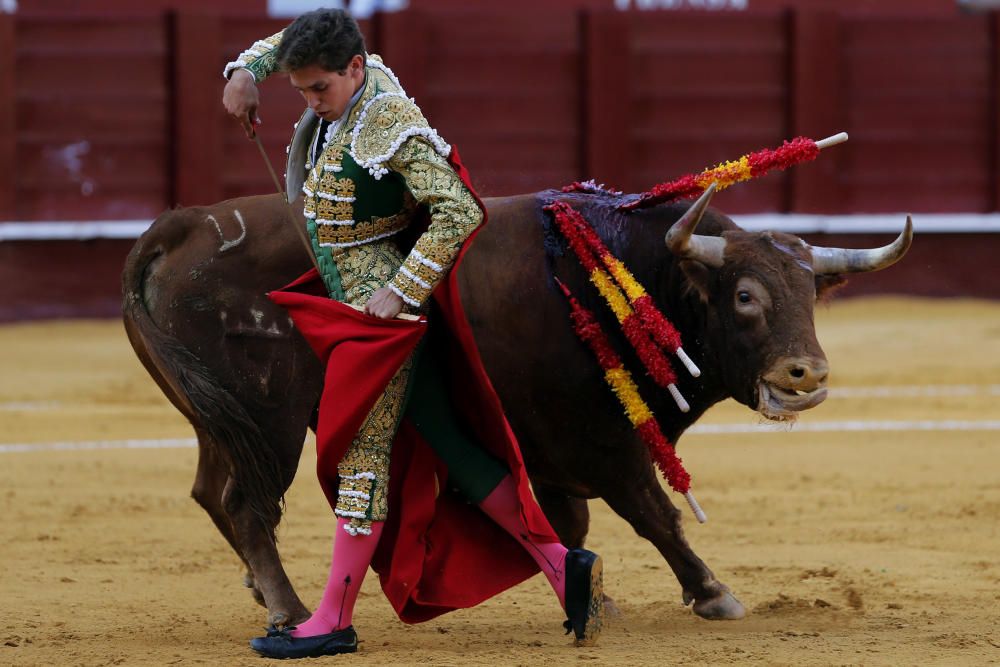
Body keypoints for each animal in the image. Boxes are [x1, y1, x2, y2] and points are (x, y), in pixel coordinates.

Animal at [121, 185, 912, 628]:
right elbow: (655, 514)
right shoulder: (604, 443)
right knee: (245, 501)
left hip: (219, 417)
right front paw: (712, 593)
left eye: (810, 293)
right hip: (269, 416)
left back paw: (264, 590)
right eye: (745, 296)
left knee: (213, 493)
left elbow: (570, 521)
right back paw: (287, 607)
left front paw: (592, 594)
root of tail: (183, 225)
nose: (805, 373)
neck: (626, 279)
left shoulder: (553, 451)